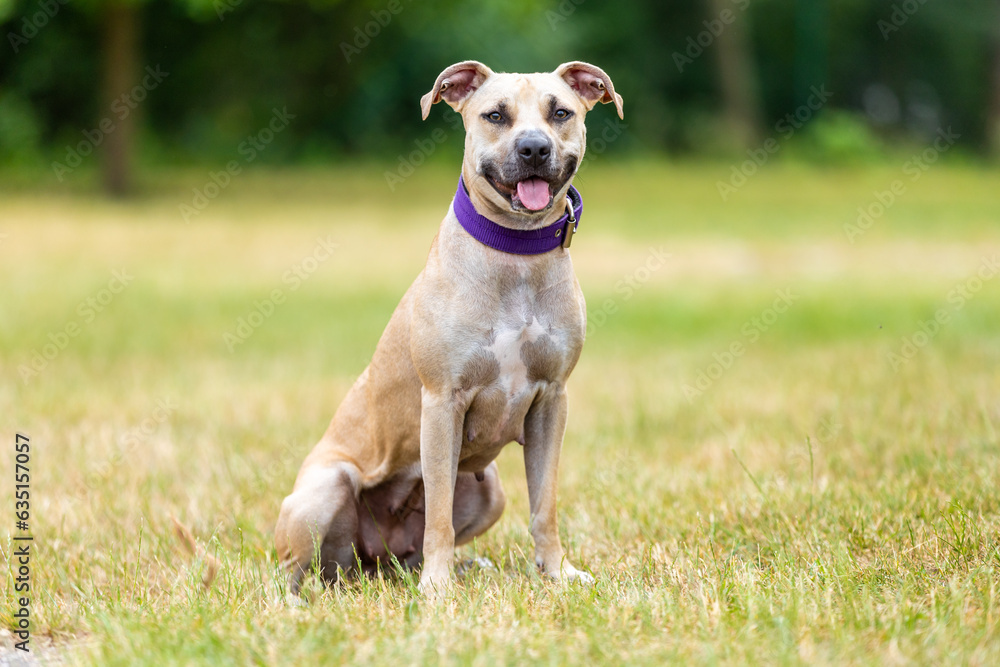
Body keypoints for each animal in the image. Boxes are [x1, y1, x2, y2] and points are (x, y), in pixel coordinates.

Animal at [272, 61, 616, 596]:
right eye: (495, 115)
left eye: (561, 112)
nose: (534, 148)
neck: (515, 253)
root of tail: (372, 561)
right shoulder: (440, 403)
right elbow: (438, 515)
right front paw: (437, 590)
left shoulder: (551, 401)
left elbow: (545, 505)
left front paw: (557, 572)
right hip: (325, 490)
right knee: (294, 569)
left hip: (489, 488)